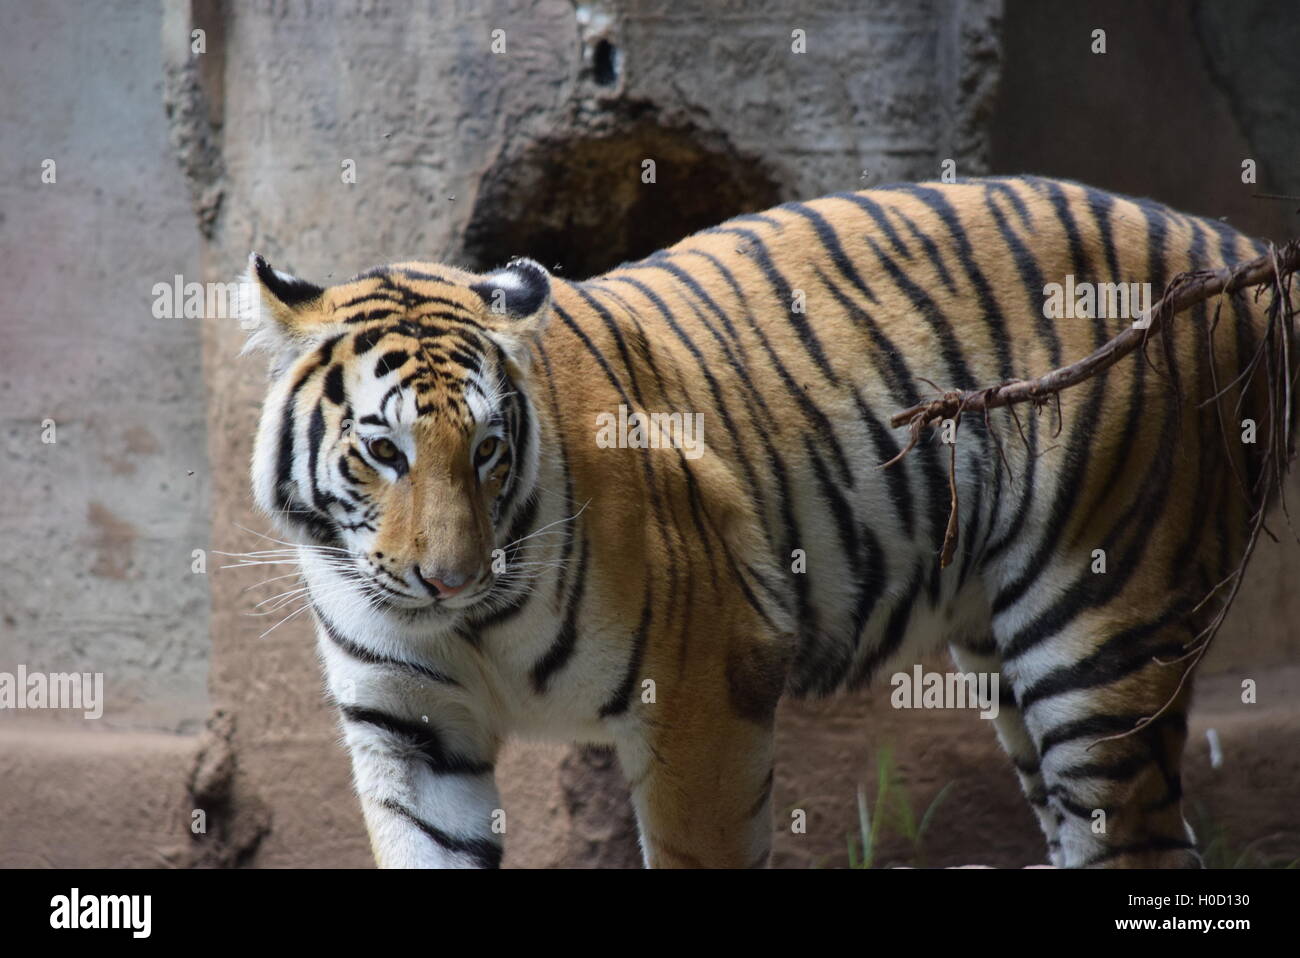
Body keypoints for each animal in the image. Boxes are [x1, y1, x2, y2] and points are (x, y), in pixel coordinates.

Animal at [241, 174, 1289, 868]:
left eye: (490, 450)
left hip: (1103, 625)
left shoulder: (706, 683)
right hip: (1011, 650)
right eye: (385, 451)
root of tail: (1230, 247)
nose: (449, 579)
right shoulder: (411, 733)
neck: (465, 629)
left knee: (1142, 841)